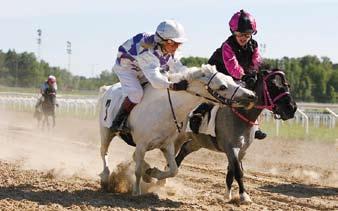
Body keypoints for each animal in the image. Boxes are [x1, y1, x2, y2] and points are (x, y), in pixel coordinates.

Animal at [98, 64, 256, 195]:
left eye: (231, 79)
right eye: (222, 86)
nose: (251, 95)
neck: (164, 109)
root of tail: (107, 89)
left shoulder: (166, 145)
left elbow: (173, 169)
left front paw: (153, 172)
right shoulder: (142, 145)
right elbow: (136, 171)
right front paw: (136, 192)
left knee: (133, 156)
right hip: (106, 133)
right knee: (104, 152)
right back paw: (105, 177)